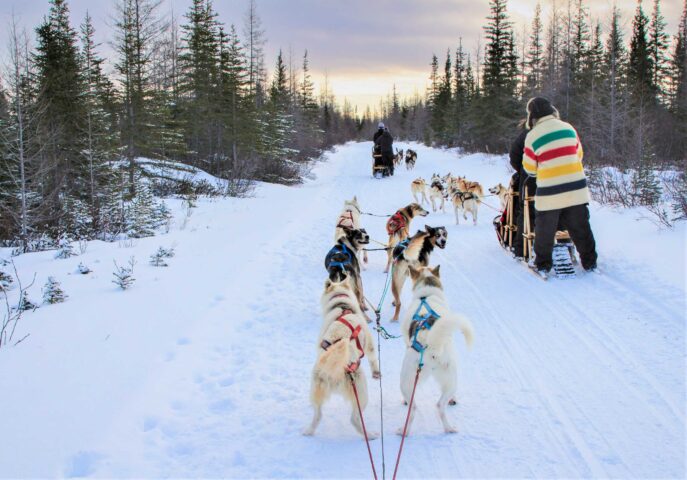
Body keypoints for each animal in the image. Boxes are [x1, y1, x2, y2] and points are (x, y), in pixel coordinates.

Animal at [306, 276, 382, 436]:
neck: (342, 304)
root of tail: (334, 370)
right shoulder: (370, 345)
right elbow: (373, 359)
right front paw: (376, 373)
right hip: (361, 392)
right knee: (354, 419)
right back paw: (369, 435)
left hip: (316, 391)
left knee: (318, 415)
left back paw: (308, 431)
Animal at [398, 266, 472, 436]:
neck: (426, 296)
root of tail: (430, 343)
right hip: (451, 379)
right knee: (438, 405)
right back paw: (448, 427)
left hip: (407, 381)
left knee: (414, 408)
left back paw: (405, 430)